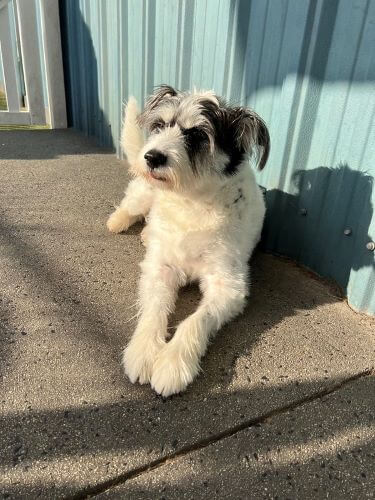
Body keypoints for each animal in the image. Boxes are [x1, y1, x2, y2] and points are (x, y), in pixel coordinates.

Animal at [108, 87, 270, 398]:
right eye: (160, 126)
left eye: (197, 135)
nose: (152, 157)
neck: (191, 201)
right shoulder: (160, 269)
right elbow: (154, 311)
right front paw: (143, 352)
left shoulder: (227, 286)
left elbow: (195, 320)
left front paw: (172, 363)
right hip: (143, 192)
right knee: (131, 204)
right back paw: (118, 221)